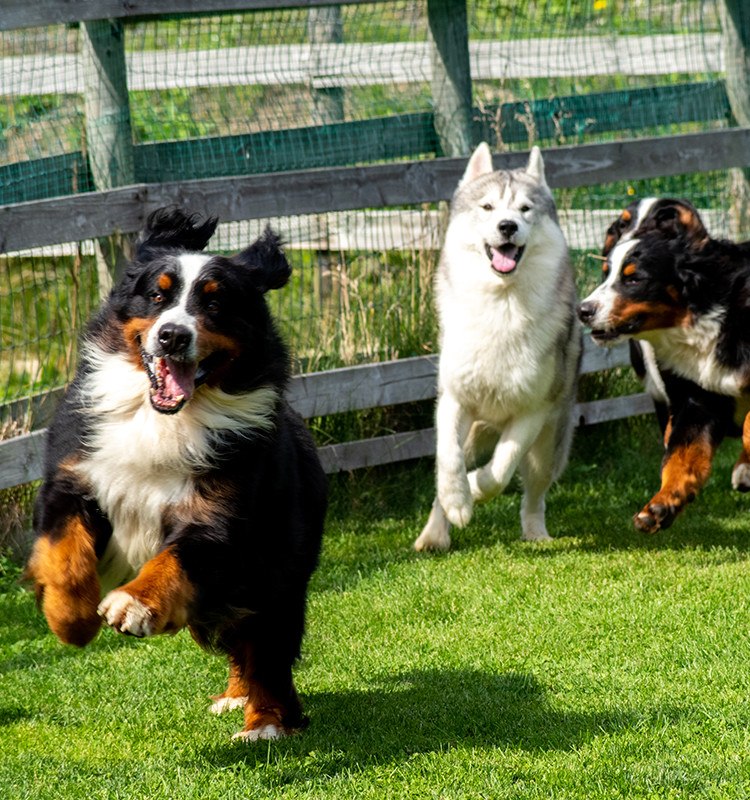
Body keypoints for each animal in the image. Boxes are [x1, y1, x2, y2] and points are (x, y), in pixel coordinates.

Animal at [580, 195, 750, 532]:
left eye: (633, 278)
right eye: (606, 273)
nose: (583, 310)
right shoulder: (697, 399)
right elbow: (680, 458)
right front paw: (662, 505)